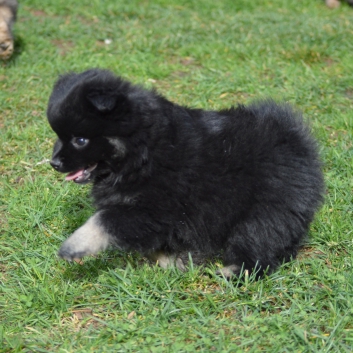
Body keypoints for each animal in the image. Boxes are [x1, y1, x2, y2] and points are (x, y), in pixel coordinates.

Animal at [47, 69, 324, 278]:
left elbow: (103, 221)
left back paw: (231, 272)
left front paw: (73, 245)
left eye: (80, 140)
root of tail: (293, 138)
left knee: (258, 244)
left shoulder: (153, 207)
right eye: (58, 136)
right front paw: (174, 260)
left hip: (264, 209)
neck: (143, 150)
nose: (54, 163)